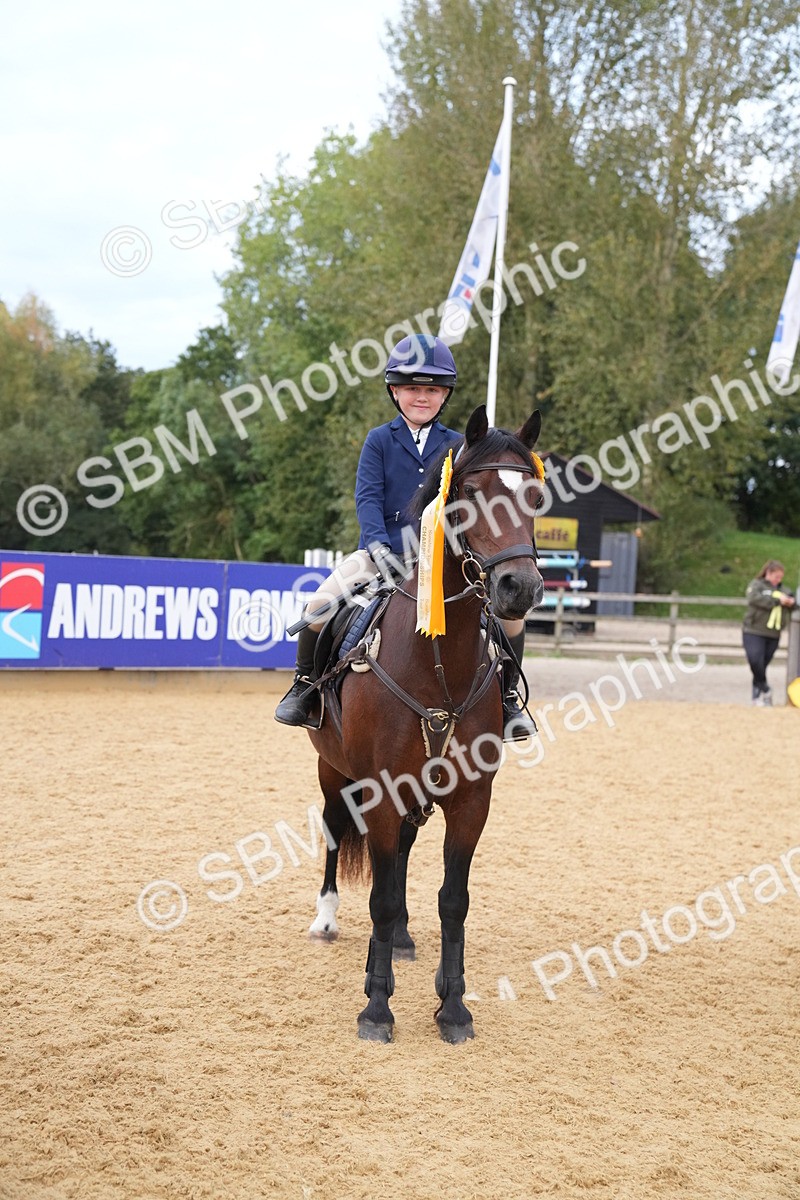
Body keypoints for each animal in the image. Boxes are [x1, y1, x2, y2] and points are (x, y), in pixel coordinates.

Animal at [305, 405, 545, 1042]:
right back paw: (327, 920)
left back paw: (401, 940)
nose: (520, 587)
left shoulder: (471, 798)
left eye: (535, 497)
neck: (439, 663)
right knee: (337, 833)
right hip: (333, 771)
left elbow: (451, 899)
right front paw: (376, 1007)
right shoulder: (381, 788)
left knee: (404, 856)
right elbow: (381, 897)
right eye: (469, 494)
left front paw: (453, 1007)